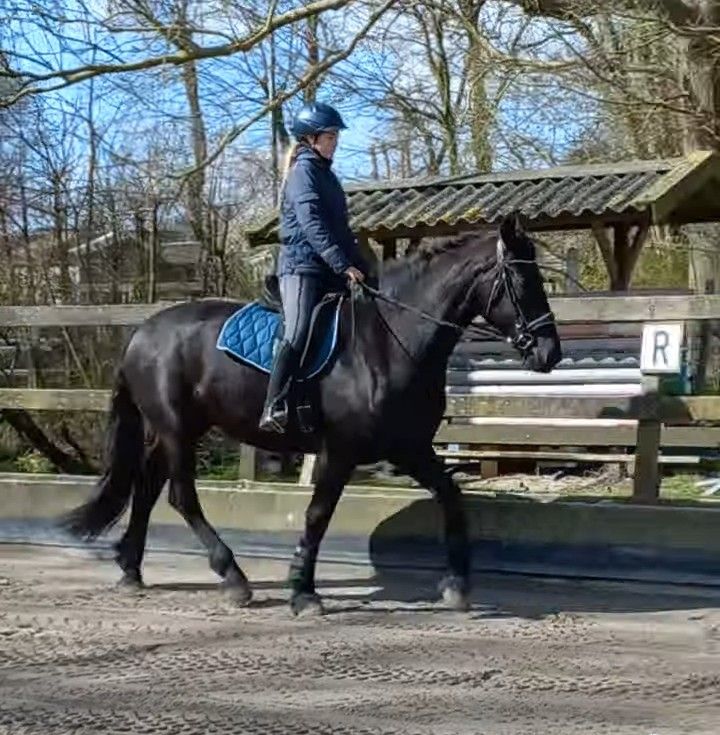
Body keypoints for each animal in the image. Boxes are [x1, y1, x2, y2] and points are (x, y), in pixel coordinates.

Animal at [62, 213, 562, 615]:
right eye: (522, 283)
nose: (549, 353)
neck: (389, 342)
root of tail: (142, 332)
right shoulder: (340, 450)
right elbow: (318, 515)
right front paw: (303, 591)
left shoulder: (409, 447)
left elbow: (452, 498)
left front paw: (457, 585)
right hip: (175, 427)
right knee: (180, 496)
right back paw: (233, 578)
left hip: (178, 427)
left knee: (146, 486)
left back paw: (131, 570)